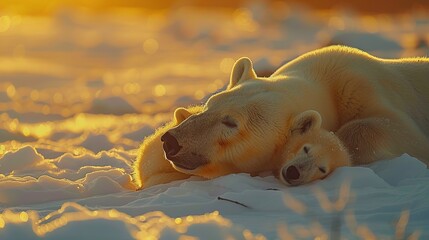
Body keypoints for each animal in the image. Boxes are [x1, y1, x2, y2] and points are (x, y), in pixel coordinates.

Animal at [160, 46, 428, 179]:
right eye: (209, 105)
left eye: (230, 123)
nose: (171, 141)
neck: (327, 81)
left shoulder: (369, 89)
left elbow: (396, 130)